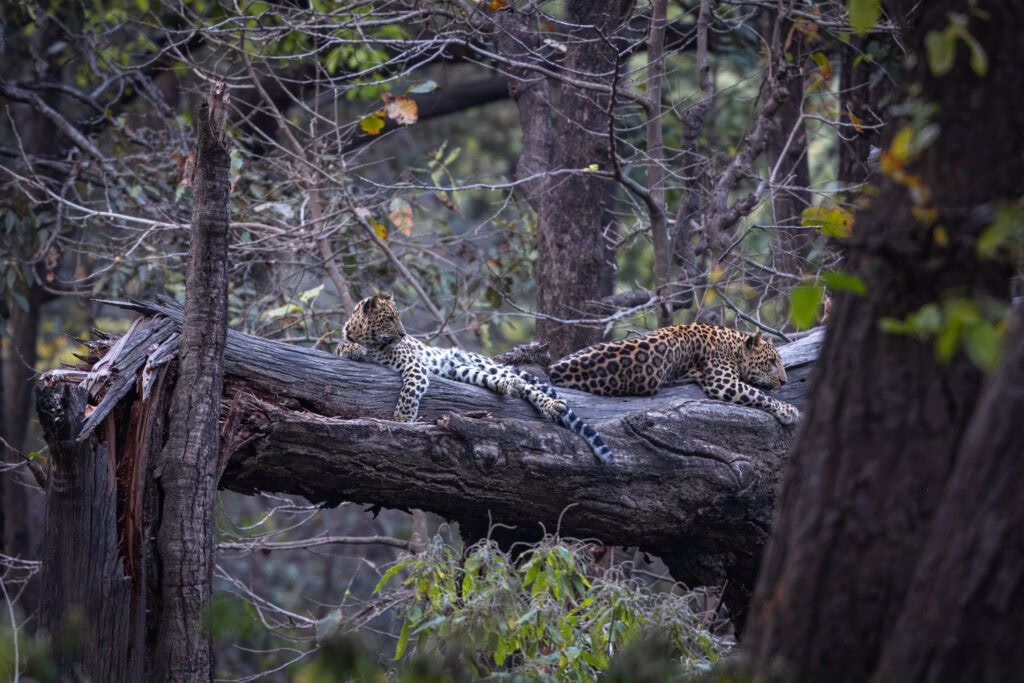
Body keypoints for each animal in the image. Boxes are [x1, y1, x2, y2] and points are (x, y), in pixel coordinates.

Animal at [336, 294, 614, 463]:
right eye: (389, 319)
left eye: (398, 318)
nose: (403, 335)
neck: (368, 339)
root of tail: (455, 355)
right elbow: (342, 347)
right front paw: (354, 350)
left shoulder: (414, 365)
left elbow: (410, 391)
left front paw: (403, 419)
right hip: (464, 371)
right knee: (505, 383)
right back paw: (509, 386)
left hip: (482, 364)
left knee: (528, 386)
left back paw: (550, 405)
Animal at [548, 323, 800, 425]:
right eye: (771, 362)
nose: (785, 381)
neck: (733, 344)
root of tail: (552, 369)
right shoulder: (724, 383)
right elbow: (760, 395)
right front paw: (789, 411)